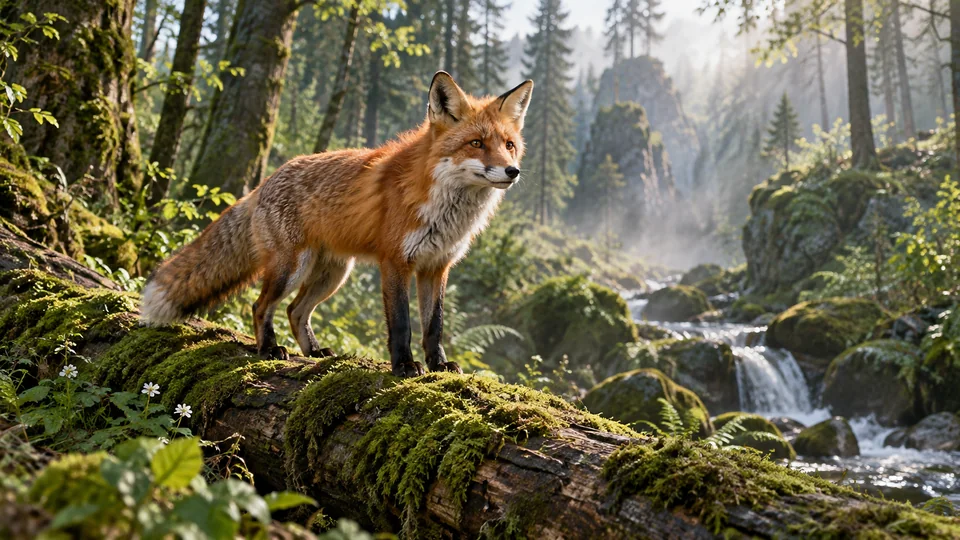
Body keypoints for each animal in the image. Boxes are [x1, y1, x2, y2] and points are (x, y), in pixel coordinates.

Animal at [140, 72, 533, 378]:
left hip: (332, 275)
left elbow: (434, 326)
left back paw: (313, 352)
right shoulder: (396, 261)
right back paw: (269, 349)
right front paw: (404, 367)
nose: (512, 172)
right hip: (291, 269)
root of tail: (263, 183)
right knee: (261, 307)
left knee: (295, 311)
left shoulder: (436, 266)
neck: (443, 205)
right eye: (476, 143)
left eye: (509, 145)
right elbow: (402, 324)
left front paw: (439, 366)